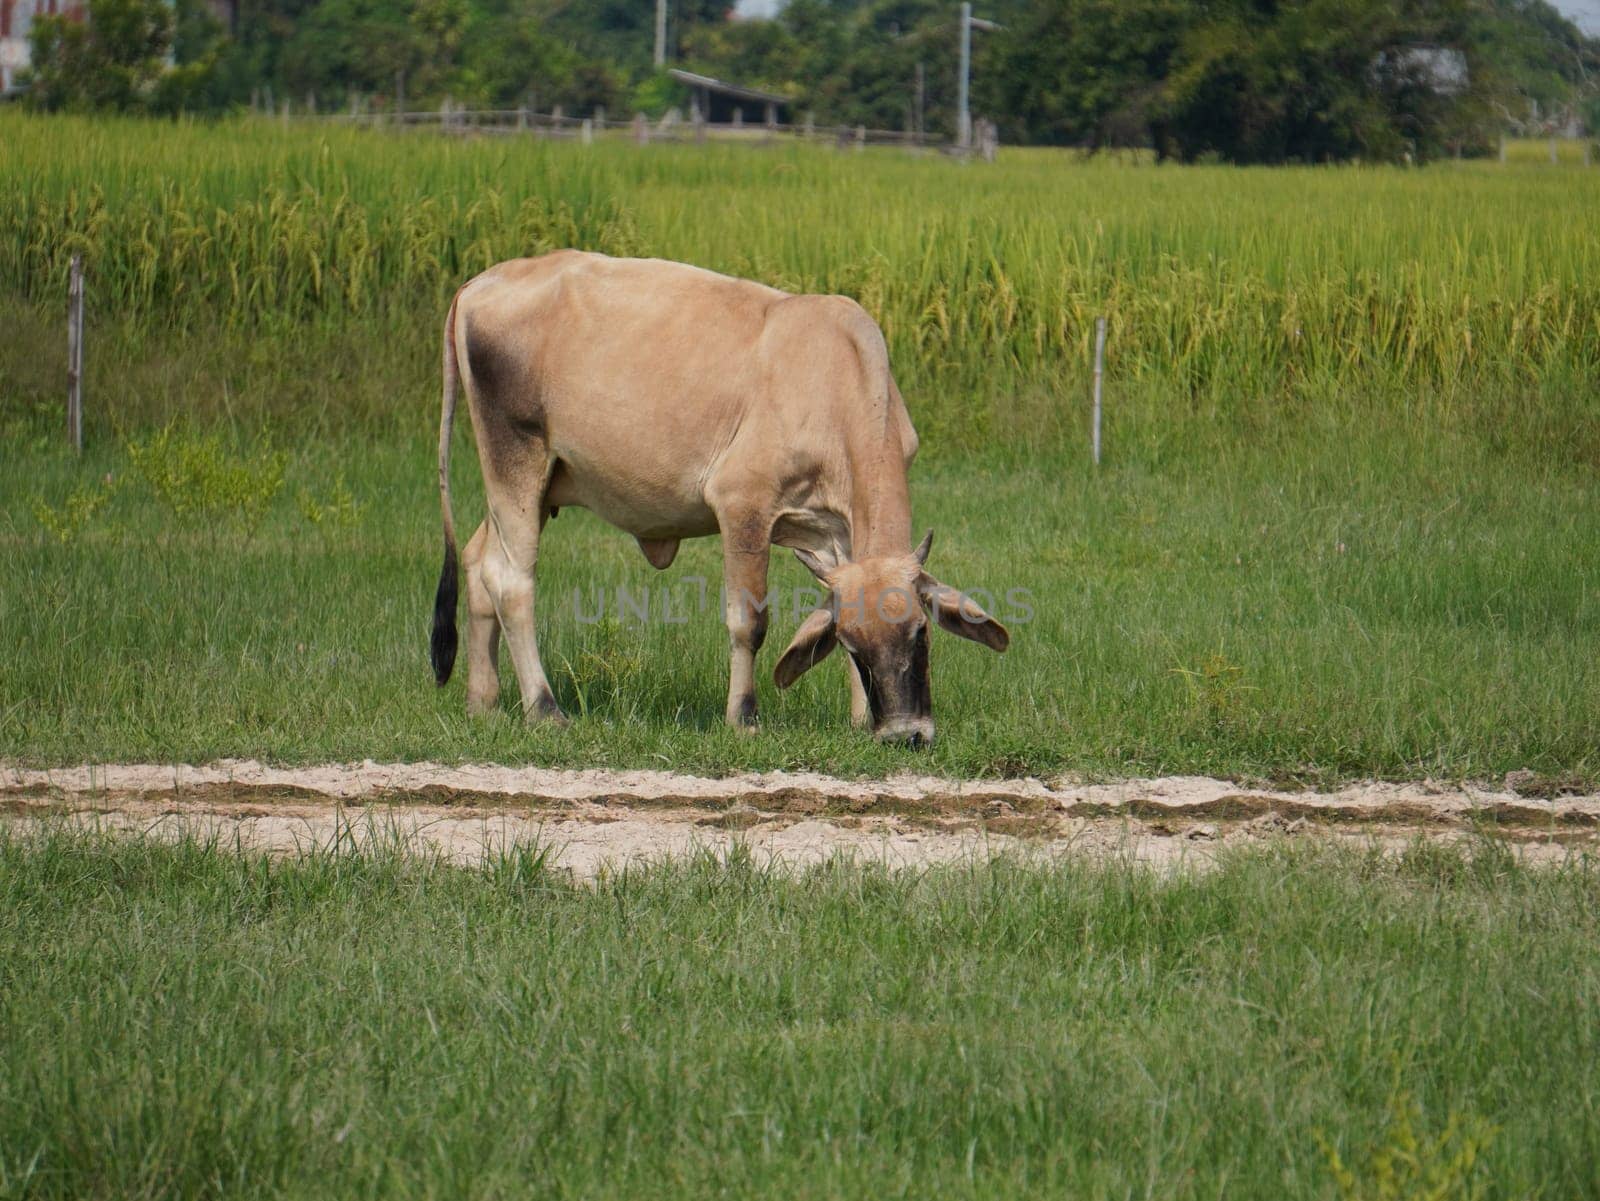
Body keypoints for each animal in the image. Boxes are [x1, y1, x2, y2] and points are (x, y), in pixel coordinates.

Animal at [432, 249, 1004, 748]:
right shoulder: (743, 506)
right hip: (516, 459)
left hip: (531, 485)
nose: (905, 734)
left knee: (479, 563)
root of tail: (479, 283)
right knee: (511, 581)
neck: (836, 382)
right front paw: (744, 717)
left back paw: (484, 703)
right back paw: (544, 708)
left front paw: (860, 721)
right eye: (858, 643)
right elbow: (748, 622)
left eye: (920, 633)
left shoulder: (834, 535)